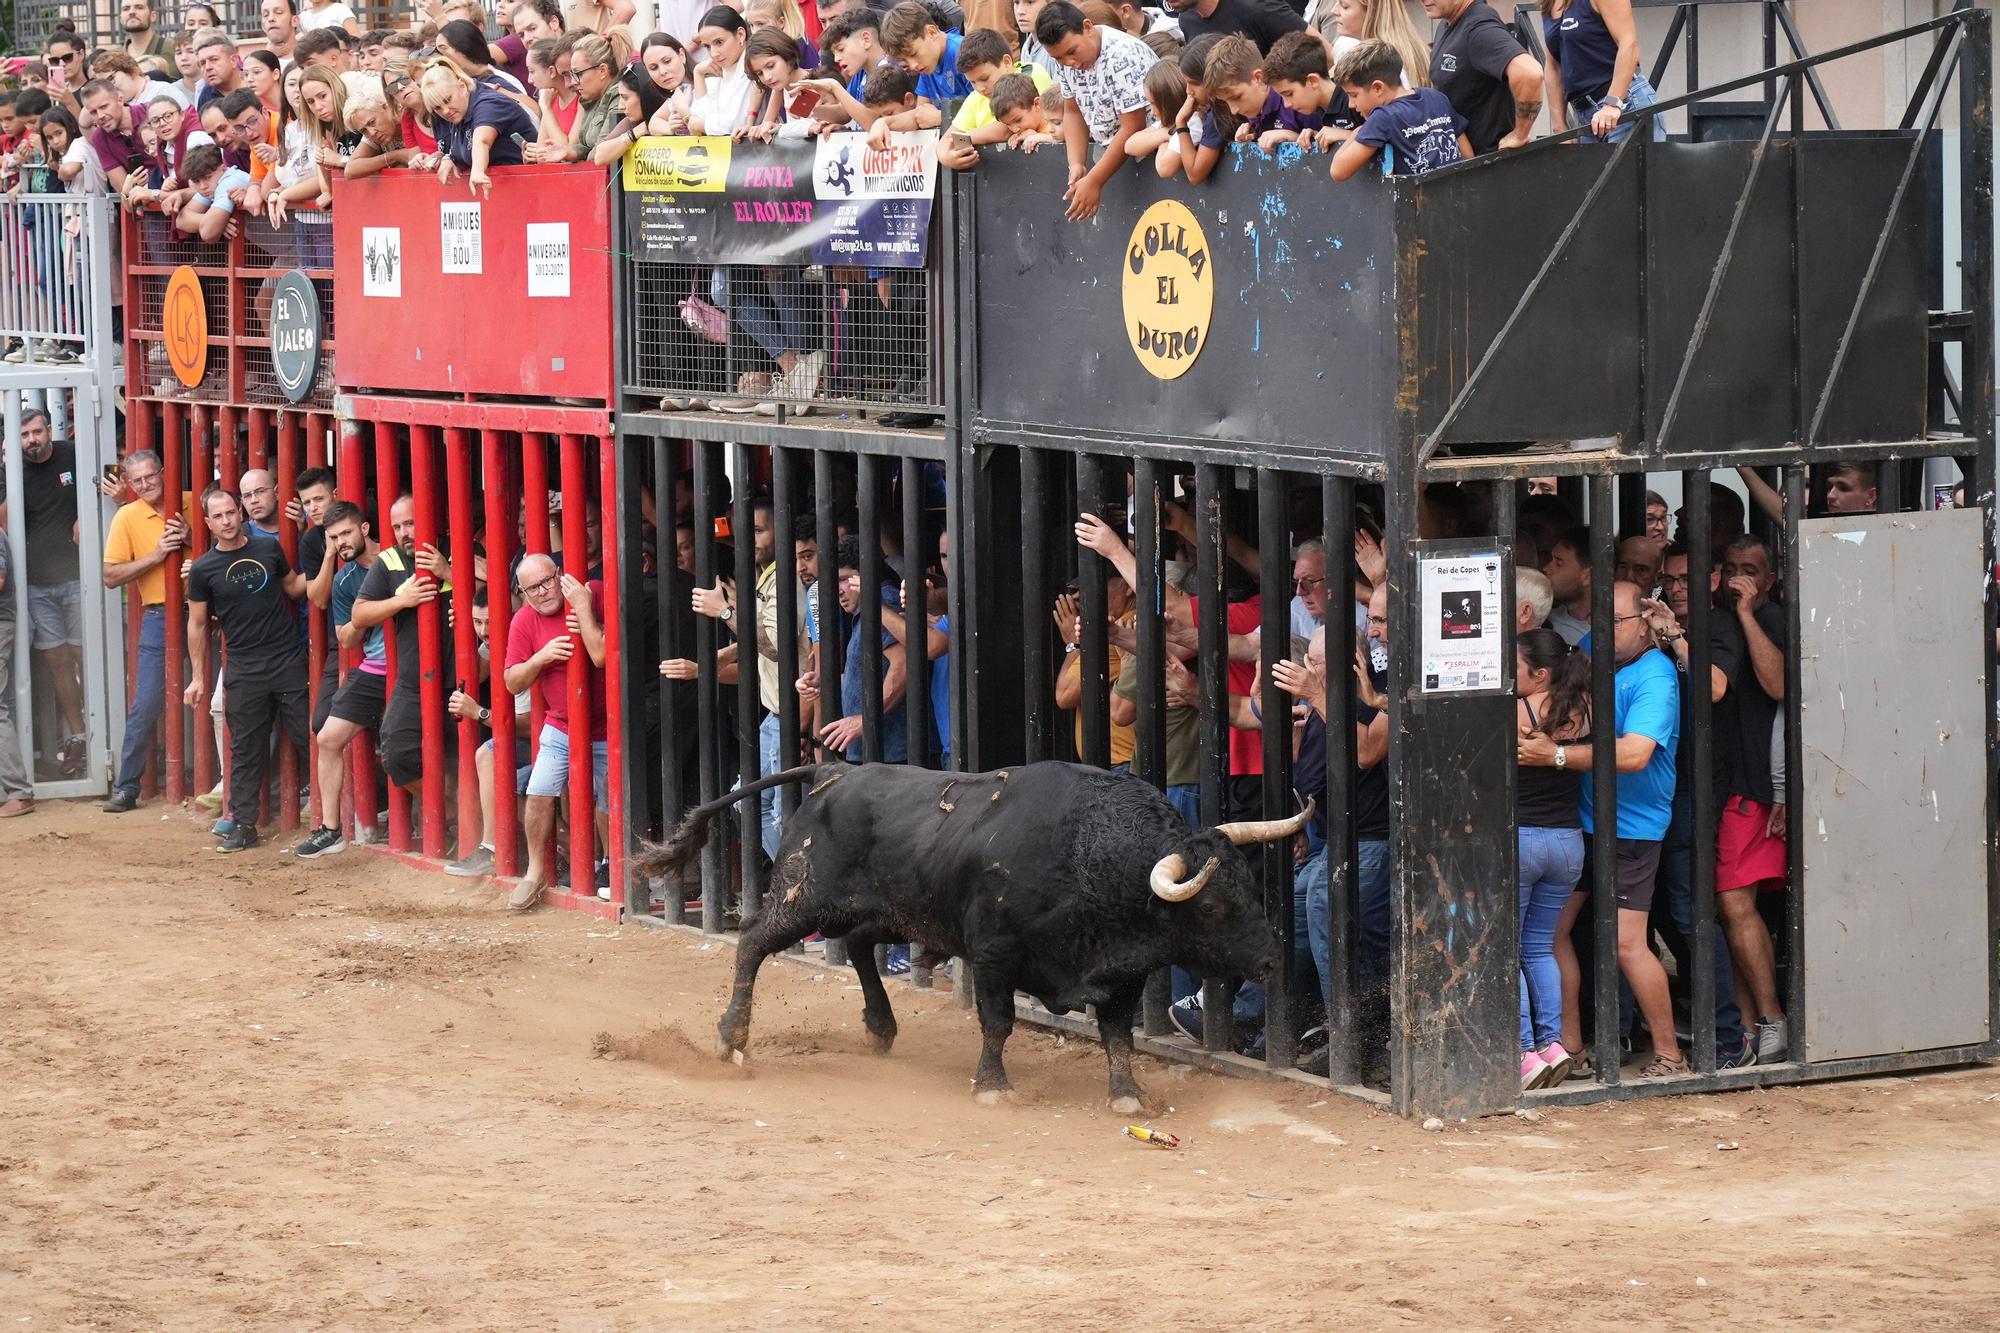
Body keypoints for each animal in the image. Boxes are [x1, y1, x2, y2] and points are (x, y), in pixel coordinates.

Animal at [628, 756, 1312, 1112]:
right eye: (1214, 907)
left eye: (1253, 889)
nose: (1274, 963)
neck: (1090, 853)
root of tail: (834, 769)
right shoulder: (993, 956)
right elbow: (998, 1023)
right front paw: (993, 1086)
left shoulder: (1120, 975)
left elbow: (1119, 1038)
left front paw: (1127, 1096)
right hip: (805, 897)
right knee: (752, 941)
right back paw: (732, 1036)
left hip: (881, 908)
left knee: (859, 947)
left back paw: (881, 1027)